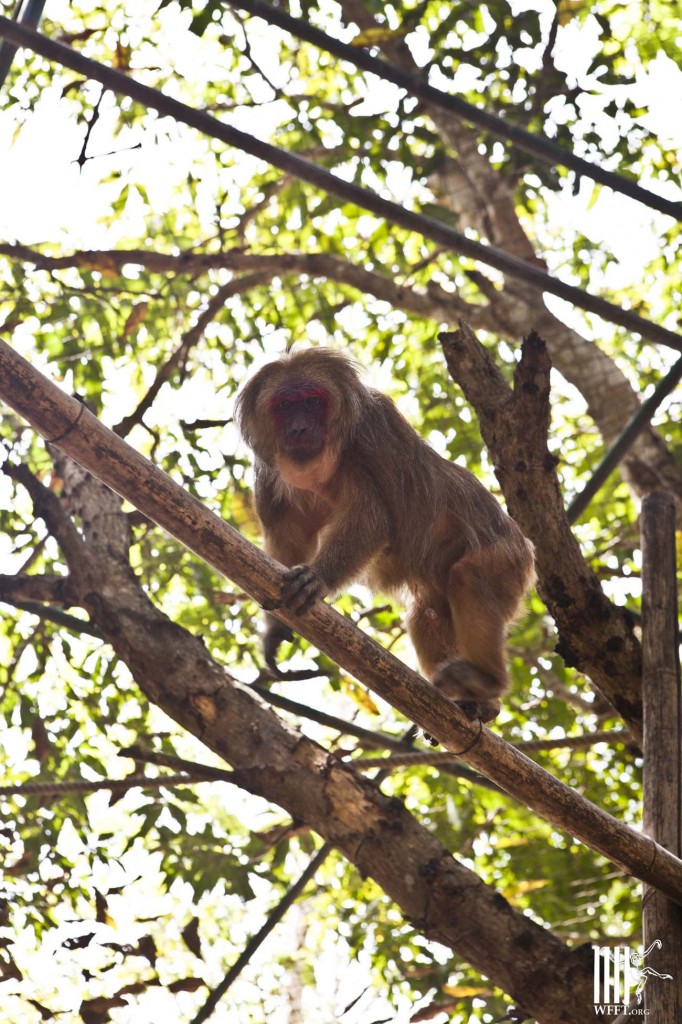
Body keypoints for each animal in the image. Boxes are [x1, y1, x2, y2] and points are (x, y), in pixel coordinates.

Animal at [236, 348, 532, 724]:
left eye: (313, 402)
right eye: (286, 405)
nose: (299, 428)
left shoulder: (374, 435)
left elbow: (372, 522)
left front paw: (319, 577)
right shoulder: (268, 477)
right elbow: (287, 542)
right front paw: (275, 629)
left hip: (508, 559)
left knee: (471, 576)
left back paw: (488, 680)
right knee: (427, 615)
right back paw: (479, 702)